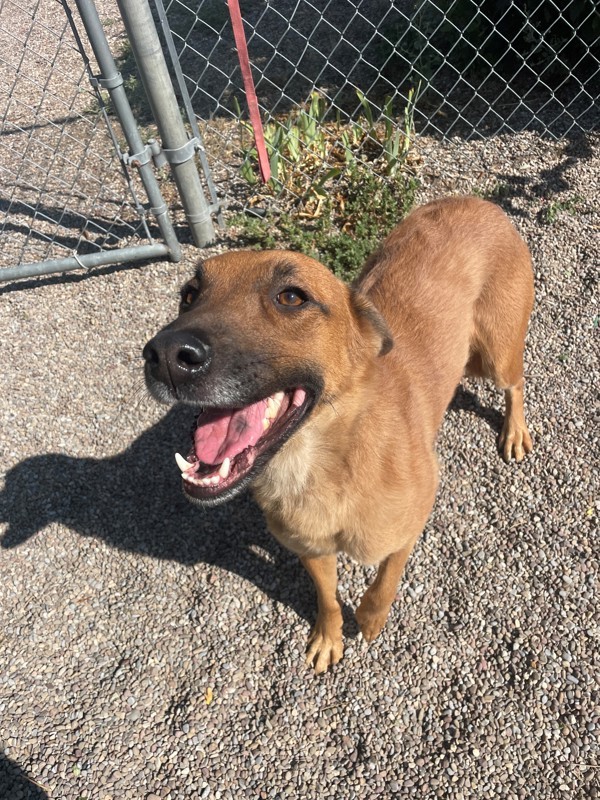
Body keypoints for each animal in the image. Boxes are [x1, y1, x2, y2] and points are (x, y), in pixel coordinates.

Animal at [142, 197, 536, 672]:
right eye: (189, 295)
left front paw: (370, 617)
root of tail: (474, 201)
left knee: (516, 383)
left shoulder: (411, 523)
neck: (323, 469)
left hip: (496, 352)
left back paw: (514, 430)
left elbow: (386, 578)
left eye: (292, 297)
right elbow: (327, 597)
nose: (165, 356)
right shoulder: (311, 549)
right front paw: (329, 636)